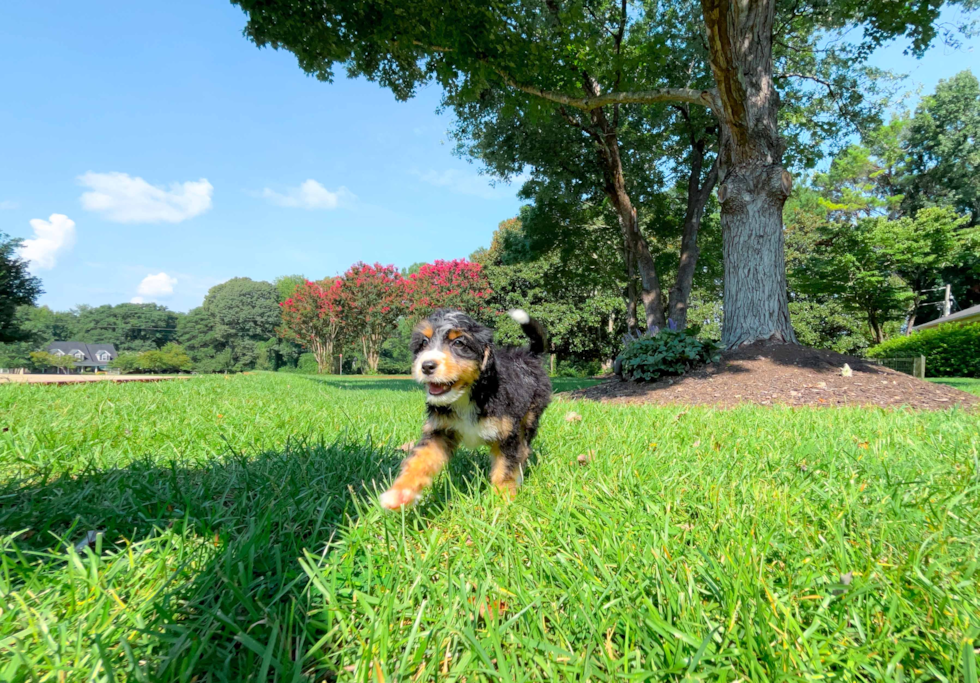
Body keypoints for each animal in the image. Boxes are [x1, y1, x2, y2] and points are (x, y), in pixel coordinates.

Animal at [378, 308, 552, 508]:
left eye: (459, 343)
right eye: (424, 342)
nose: (426, 366)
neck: (467, 395)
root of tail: (529, 355)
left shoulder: (507, 435)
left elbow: (505, 469)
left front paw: (503, 502)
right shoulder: (440, 430)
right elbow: (420, 460)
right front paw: (400, 493)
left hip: (530, 417)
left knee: (523, 449)